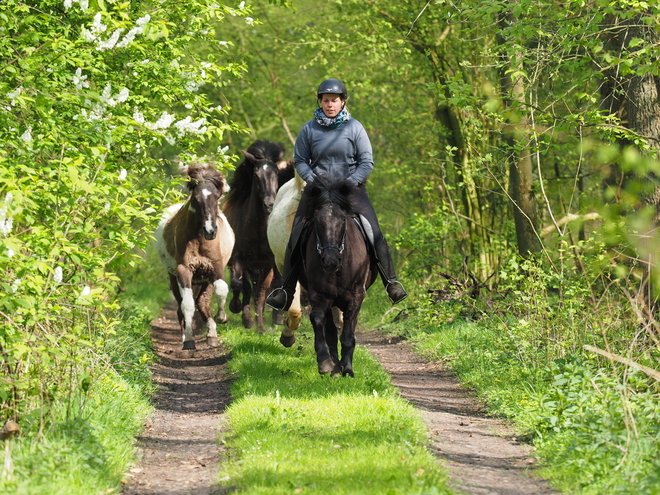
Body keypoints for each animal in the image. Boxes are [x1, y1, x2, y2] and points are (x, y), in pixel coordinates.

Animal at [155, 165, 235, 350]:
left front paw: (222, 317)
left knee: (203, 302)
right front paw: (189, 340)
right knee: (182, 305)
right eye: (196, 199)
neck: (199, 239)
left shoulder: (215, 267)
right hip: (174, 276)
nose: (210, 231)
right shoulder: (184, 270)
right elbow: (187, 305)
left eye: (216, 197)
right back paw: (187, 335)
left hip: (204, 279)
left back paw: (212, 335)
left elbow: (222, 289)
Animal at [223, 140, 292, 334]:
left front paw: (262, 325)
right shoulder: (239, 259)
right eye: (256, 174)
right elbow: (238, 285)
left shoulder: (269, 263)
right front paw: (237, 309)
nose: (269, 204)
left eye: (276, 173)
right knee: (245, 287)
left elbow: (263, 292)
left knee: (260, 290)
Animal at [300, 177, 376, 376]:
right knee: (331, 330)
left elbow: (348, 332)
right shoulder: (319, 295)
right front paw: (325, 363)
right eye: (317, 220)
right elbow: (317, 320)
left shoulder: (356, 296)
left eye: (342, 219)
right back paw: (334, 366)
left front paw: (347, 369)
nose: (330, 260)